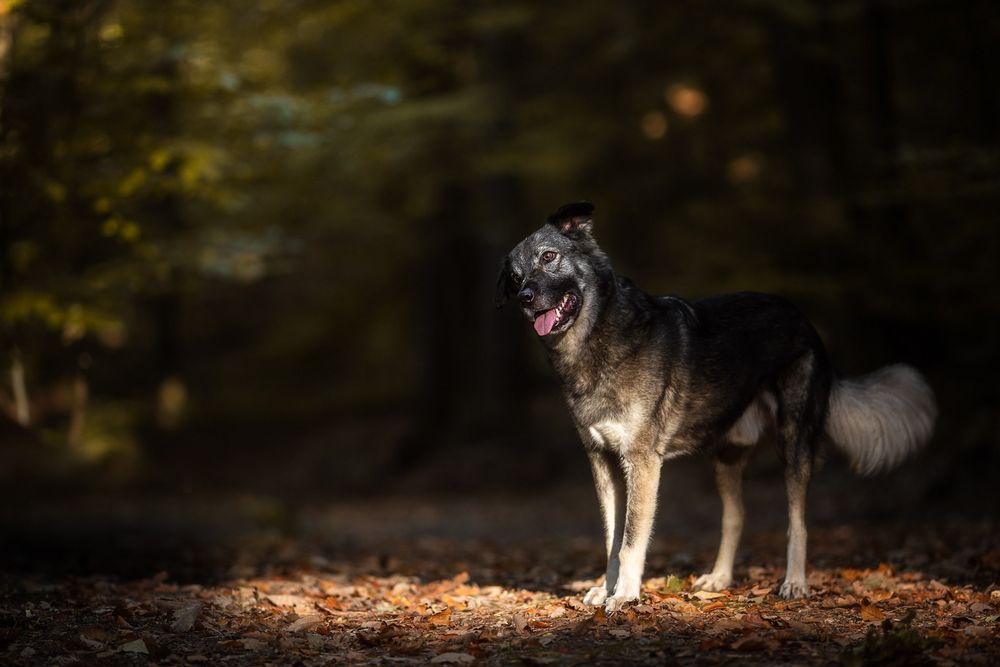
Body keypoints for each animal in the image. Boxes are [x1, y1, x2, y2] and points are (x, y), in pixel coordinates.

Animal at [496, 204, 940, 616]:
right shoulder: (601, 460)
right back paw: (720, 578)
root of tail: (805, 321)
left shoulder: (642, 462)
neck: (596, 341)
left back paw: (794, 582)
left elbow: (631, 540)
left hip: (794, 444)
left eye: (549, 256)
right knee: (736, 515)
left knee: (797, 521)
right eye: (515, 277)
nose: (525, 299)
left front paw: (624, 594)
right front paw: (605, 588)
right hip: (726, 457)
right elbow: (611, 537)